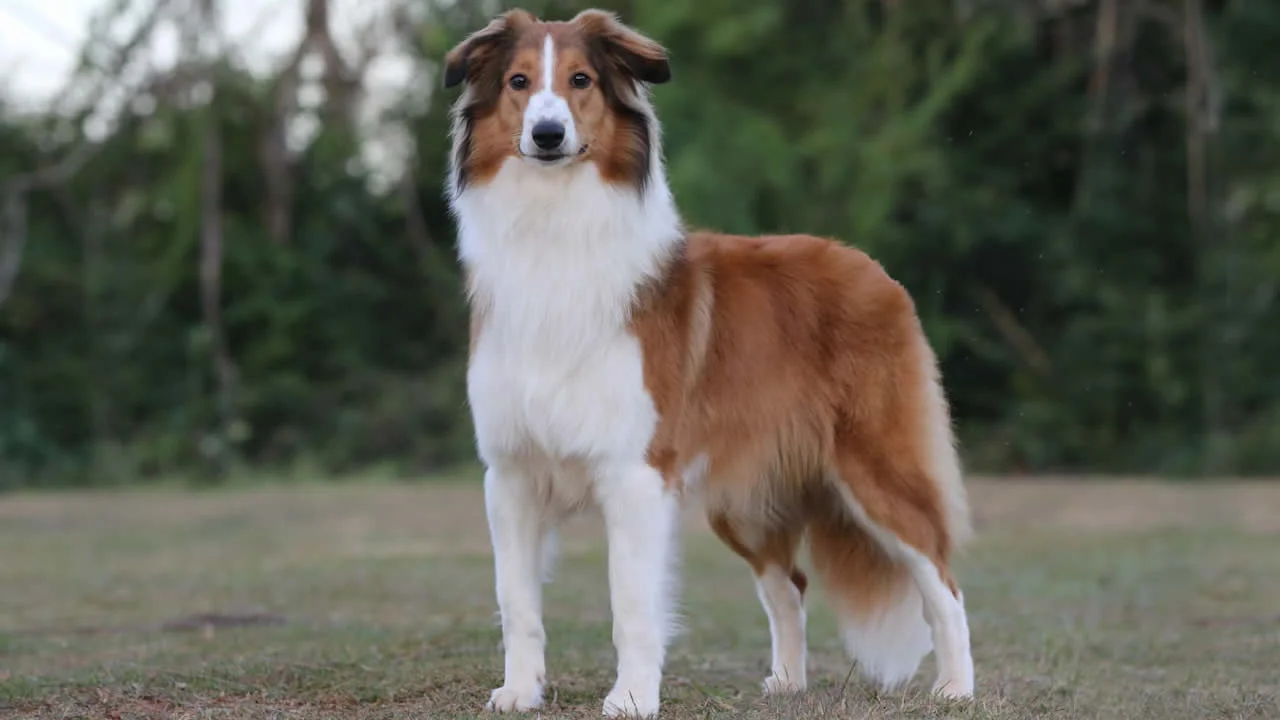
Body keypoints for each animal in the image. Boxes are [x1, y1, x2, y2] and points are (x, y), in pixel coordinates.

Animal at [445, 8, 972, 712]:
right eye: (518, 81)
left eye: (581, 80)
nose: (548, 134)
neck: (554, 226)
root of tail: (871, 269)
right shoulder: (511, 473)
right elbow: (516, 599)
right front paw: (520, 692)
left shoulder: (635, 472)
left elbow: (632, 604)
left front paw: (632, 699)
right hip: (745, 501)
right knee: (789, 586)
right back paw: (788, 682)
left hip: (877, 467)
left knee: (943, 580)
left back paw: (957, 688)